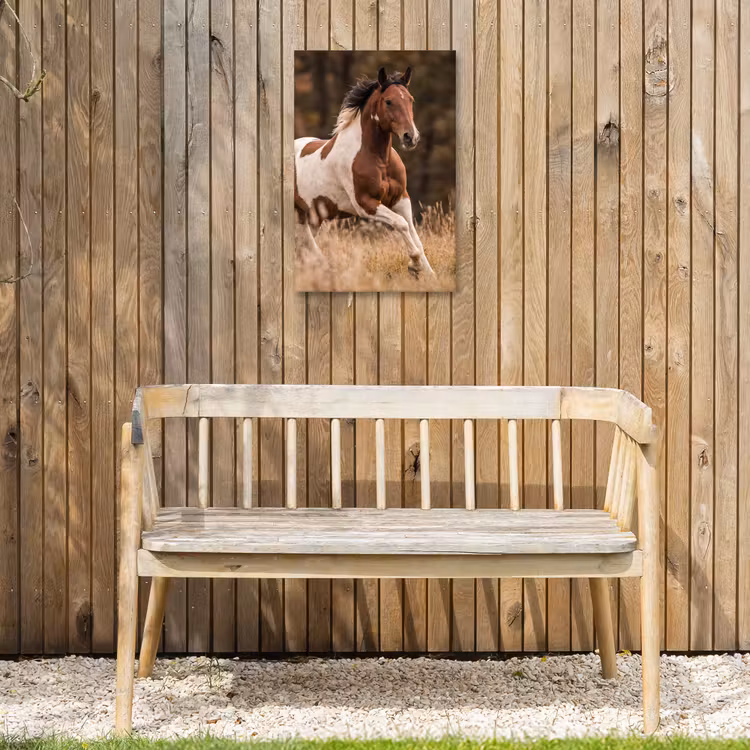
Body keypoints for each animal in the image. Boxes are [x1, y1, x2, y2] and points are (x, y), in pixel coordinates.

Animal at [294, 66, 434, 279]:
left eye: (410, 99)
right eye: (388, 101)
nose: (410, 137)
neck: (378, 159)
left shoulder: (401, 199)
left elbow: (413, 233)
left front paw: (429, 274)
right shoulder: (365, 204)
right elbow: (401, 224)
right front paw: (414, 264)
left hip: (312, 217)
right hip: (297, 215)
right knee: (305, 245)